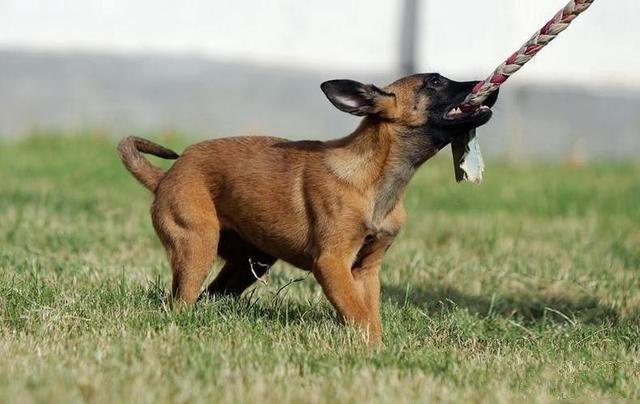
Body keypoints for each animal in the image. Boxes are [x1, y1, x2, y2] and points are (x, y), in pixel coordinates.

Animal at [120, 73, 500, 344]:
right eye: (435, 82)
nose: (489, 89)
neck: (376, 177)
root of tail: (166, 175)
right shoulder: (331, 263)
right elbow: (357, 313)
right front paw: (370, 349)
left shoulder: (366, 270)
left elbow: (369, 314)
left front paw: (377, 347)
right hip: (197, 244)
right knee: (182, 300)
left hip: (251, 260)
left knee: (210, 295)